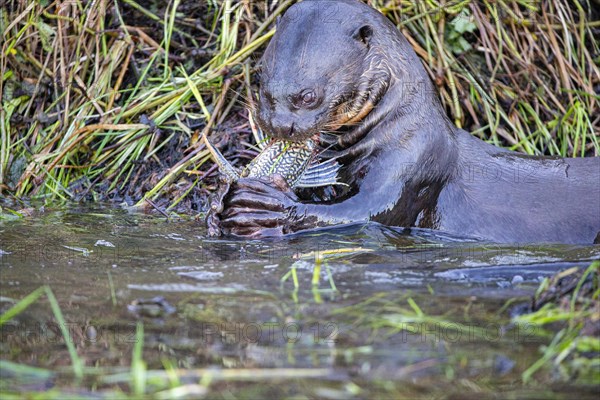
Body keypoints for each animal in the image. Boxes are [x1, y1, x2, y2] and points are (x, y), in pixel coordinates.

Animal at [209, 0, 596, 244]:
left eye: (308, 96)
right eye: (260, 84)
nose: (278, 126)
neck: (397, 128)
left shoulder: (414, 162)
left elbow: (366, 213)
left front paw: (266, 209)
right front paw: (215, 208)